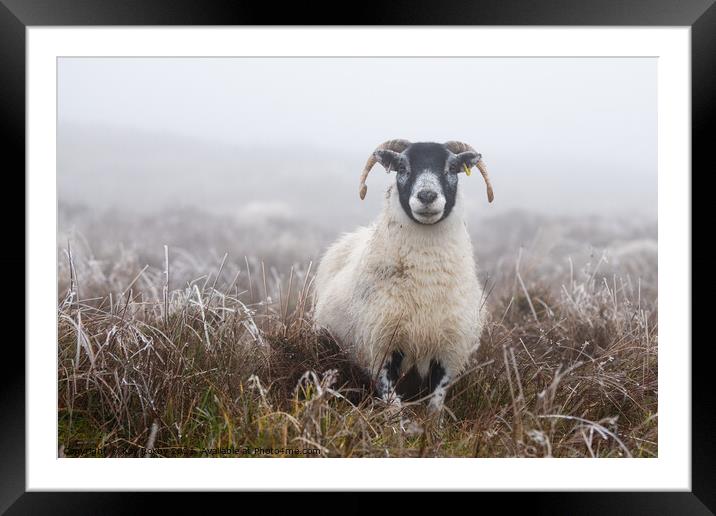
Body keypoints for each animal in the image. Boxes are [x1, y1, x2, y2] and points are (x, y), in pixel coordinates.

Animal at [314, 139, 492, 414]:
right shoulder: (381, 348)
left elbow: (435, 404)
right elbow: (392, 404)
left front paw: (432, 425)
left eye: (452, 167)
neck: (426, 282)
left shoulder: (448, 351)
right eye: (402, 167)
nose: (427, 196)